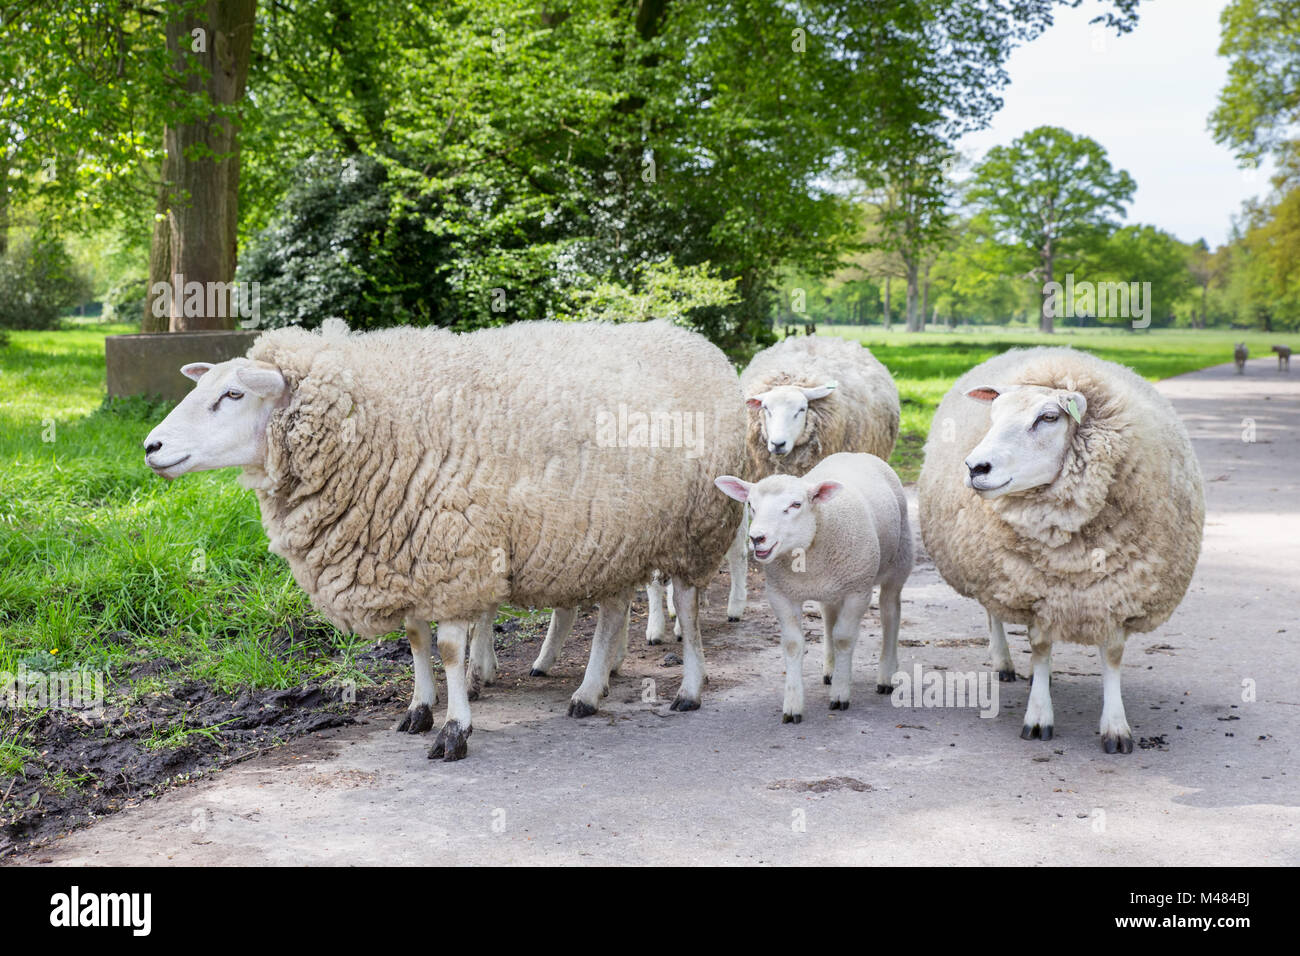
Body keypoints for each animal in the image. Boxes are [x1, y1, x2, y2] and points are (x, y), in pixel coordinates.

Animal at [142, 318, 746, 761]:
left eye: (233, 394)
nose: (150, 446)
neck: (370, 425)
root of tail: (694, 340)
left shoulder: (455, 557)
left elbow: (452, 649)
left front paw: (455, 729)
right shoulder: (406, 554)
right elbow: (415, 641)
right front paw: (419, 709)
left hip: (696, 527)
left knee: (687, 606)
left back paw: (688, 689)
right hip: (612, 537)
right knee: (615, 610)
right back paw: (590, 691)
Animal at [715, 453, 913, 722]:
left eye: (795, 505)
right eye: (751, 505)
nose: (756, 538)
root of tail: (856, 454)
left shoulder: (857, 591)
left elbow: (844, 638)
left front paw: (840, 695)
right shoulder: (781, 594)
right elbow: (793, 644)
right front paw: (793, 705)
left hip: (899, 562)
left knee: (890, 613)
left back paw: (886, 674)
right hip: (831, 589)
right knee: (829, 619)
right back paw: (831, 669)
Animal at [917, 347, 1205, 754]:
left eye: (1049, 417)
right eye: (994, 415)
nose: (975, 467)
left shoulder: (1118, 592)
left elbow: (1112, 655)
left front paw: (1116, 727)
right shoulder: (1035, 589)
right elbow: (1039, 647)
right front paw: (1039, 717)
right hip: (993, 569)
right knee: (994, 613)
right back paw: (1004, 663)